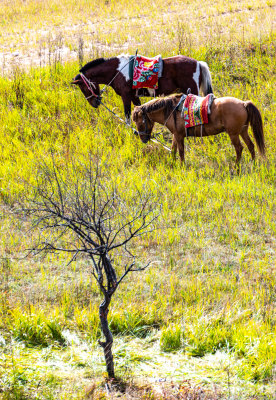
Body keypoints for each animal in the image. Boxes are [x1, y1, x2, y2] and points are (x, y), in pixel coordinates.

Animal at [71, 54, 213, 122]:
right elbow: (138, 110)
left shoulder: (126, 96)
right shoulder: (134, 96)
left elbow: (128, 116)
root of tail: (198, 63)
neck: (117, 71)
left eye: (83, 88)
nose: (94, 103)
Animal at [132, 94, 266, 162]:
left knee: (239, 148)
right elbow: (173, 150)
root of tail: (243, 103)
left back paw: (236, 168)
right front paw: (173, 165)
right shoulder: (176, 135)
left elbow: (181, 152)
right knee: (251, 146)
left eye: (140, 122)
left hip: (233, 134)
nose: (143, 139)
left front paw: (182, 167)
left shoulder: (179, 135)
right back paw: (253, 164)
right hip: (243, 131)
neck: (171, 110)